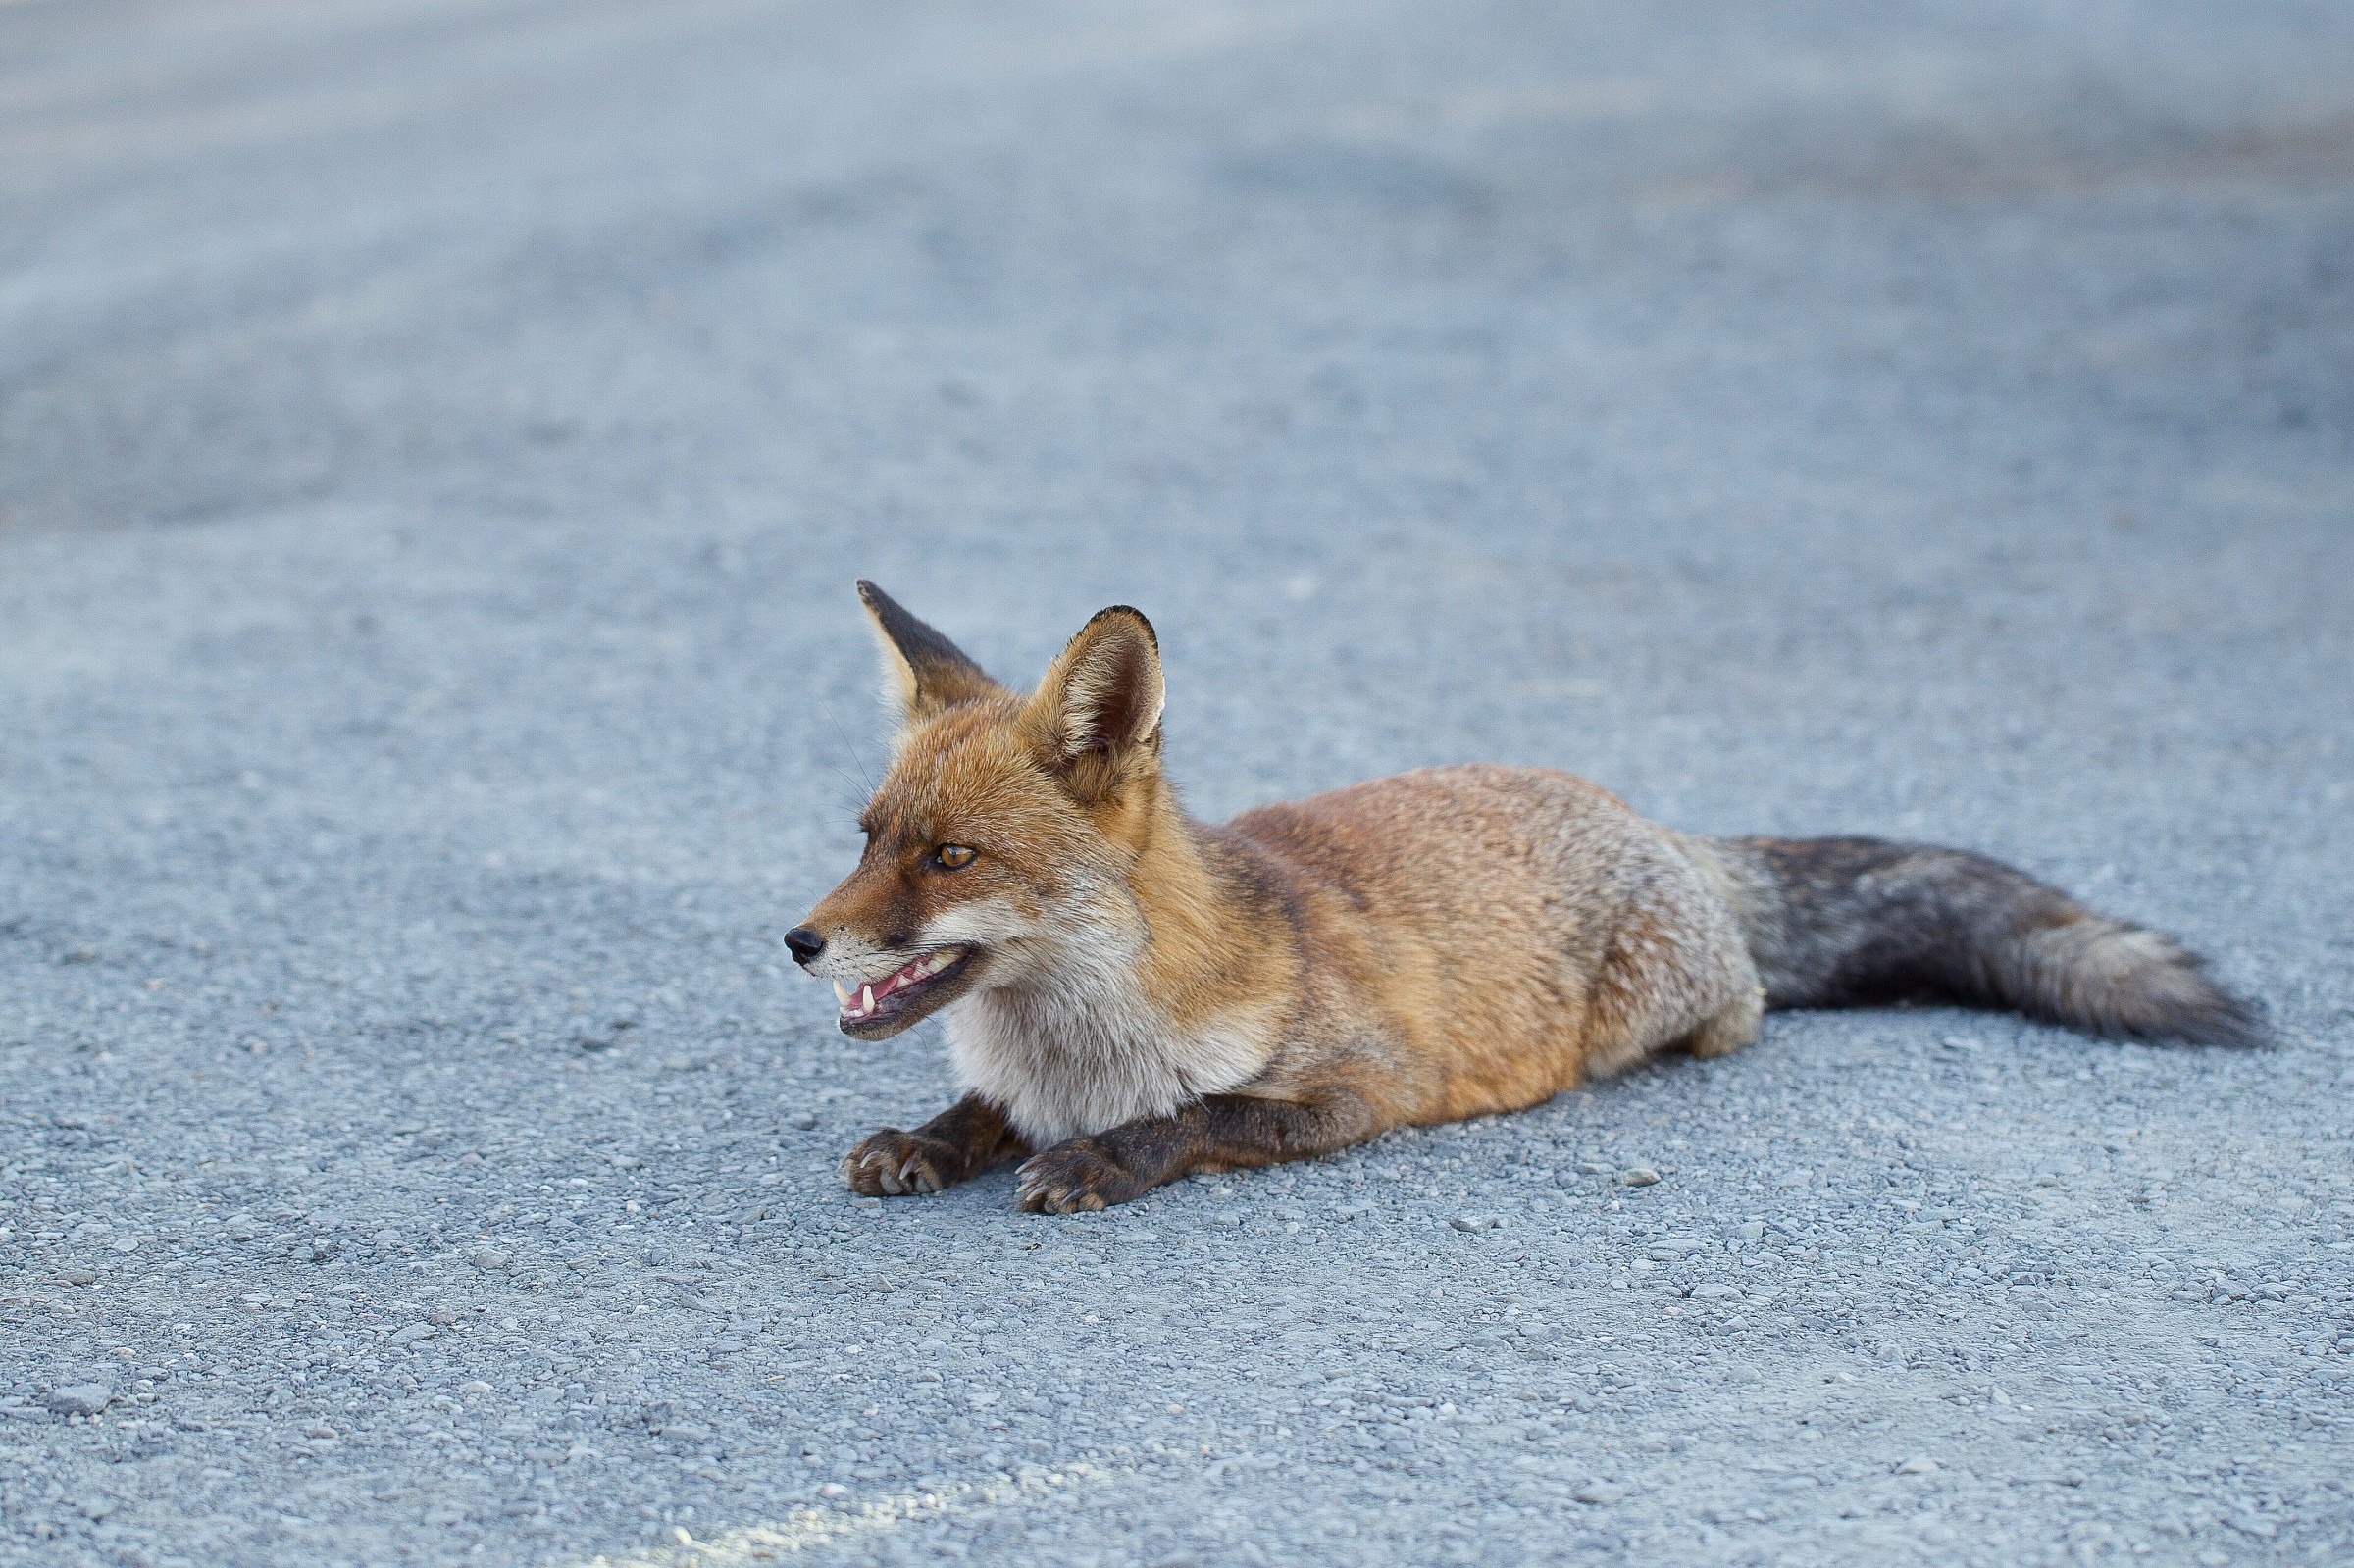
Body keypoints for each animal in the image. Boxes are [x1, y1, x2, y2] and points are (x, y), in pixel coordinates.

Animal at [785, 582, 2260, 1214]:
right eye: (868, 837)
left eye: (953, 859)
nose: (799, 940)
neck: (1084, 1042)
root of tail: (1652, 818)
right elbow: (980, 1111)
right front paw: (934, 1136)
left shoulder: (1364, 1084)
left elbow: (1200, 1116)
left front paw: (1097, 1158)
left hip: (1657, 1010)